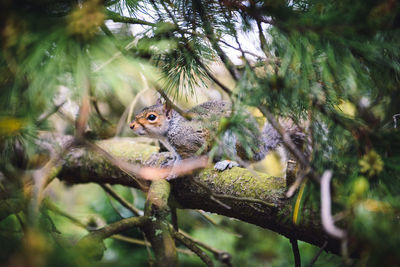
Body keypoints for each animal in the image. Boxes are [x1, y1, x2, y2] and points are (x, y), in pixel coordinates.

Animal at [130, 100, 304, 172]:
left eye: (152, 117)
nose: (131, 125)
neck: (172, 127)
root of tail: (260, 147)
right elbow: (175, 156)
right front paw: (169, 159)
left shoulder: (191, 142)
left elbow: (190, 158)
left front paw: (175, 170)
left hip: (235, 138)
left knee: (245, 160)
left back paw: (228, 162)